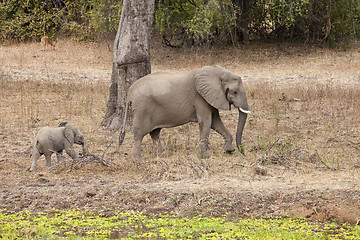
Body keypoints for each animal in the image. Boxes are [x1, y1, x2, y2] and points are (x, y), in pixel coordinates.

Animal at [119, 65, 249, 159]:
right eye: (235, 92)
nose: (243, 152)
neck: (217, 72)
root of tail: (130, 92)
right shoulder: (200, 97)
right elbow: (206, 122)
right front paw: (205, 157)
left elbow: (215, 122)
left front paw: (229, 151)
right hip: (142, 109)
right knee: (139, 134)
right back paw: (138, 161)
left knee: (155, 133)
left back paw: (161, 156)